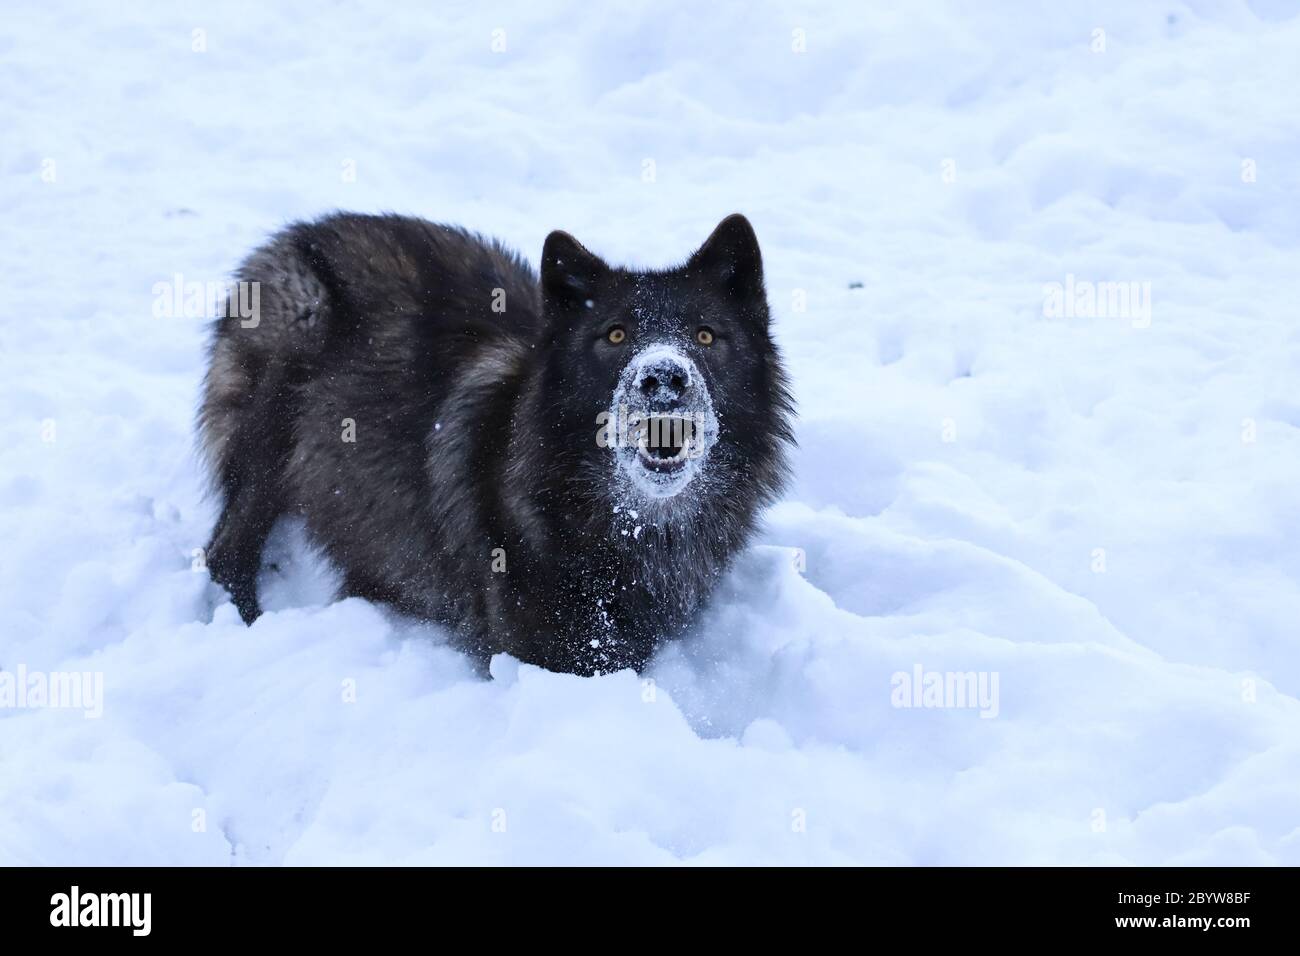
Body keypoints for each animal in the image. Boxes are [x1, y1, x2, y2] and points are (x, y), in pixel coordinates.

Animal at [199, 212, 794, 675]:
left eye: (705, 335)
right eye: (615, 334)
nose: (664, 378)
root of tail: (296, 234)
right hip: (288, 373)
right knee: (224, 552)